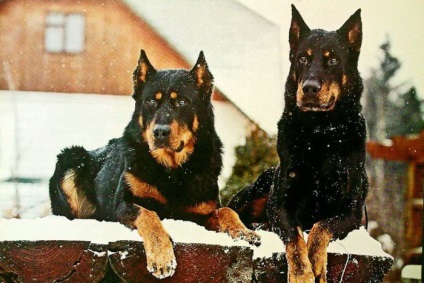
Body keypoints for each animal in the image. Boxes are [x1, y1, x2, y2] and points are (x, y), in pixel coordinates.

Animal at [51, 50, 260, 280]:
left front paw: (243, 231)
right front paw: (161, 256)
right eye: (151, 101)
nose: (159, 132)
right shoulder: (124, 205)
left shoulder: (201, 214)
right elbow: (149, 215)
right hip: (71, 158)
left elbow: (227, 211)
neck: (173, 170)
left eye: (182, 102)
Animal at [229, 6, 368, 283]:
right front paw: (302, 273)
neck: (320, 133)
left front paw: (315, 262)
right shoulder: (280, 205)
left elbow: (320, 227)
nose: (310, 88)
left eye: (333, 60)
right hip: (256, 188)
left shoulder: (351, 213)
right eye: (303, 59)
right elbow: (294, 236)